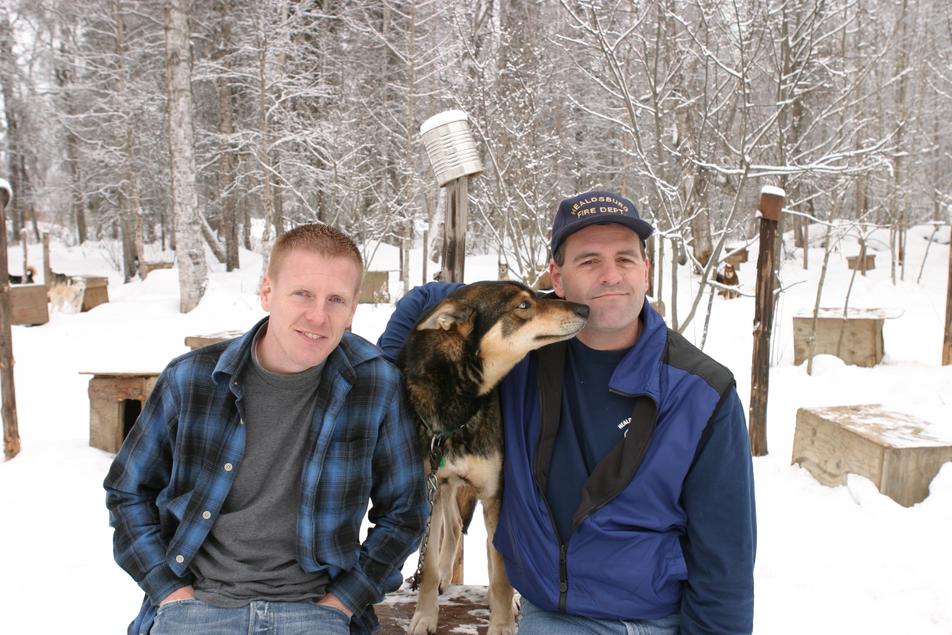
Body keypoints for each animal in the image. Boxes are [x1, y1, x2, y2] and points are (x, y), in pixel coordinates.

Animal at [397, 281, 588, 635]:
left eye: (534, 295)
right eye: (523, 305)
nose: (585, 308)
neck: (461, 405)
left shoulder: (495, 494)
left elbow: (500, 573)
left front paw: (502, 623)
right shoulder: (431, 490)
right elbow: (427, 568)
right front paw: (425, 616)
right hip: (446, 490)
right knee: (454, 526)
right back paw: (445, 576)